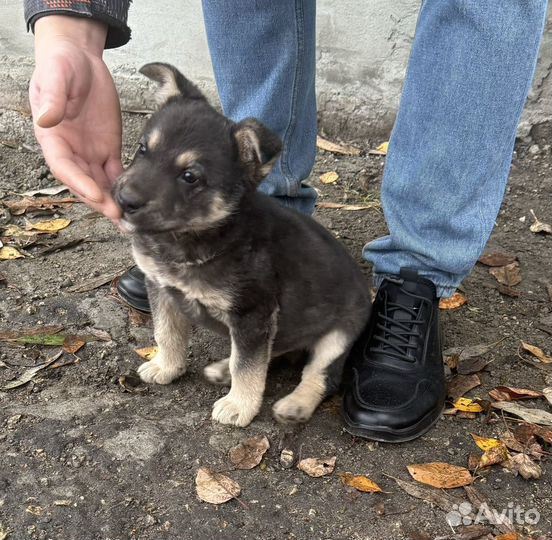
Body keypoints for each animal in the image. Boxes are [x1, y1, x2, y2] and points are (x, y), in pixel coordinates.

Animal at [112, 62, 370, 426]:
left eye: (190, 176)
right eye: (143, 149)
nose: (123, 201)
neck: (194, 238)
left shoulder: (252, 313)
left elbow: (247, 365)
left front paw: (239, 406)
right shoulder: (162, 290)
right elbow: (167, 333)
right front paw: (167, 366)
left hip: (338, 335)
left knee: (321, 375)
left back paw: (295, 404)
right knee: (275, 351)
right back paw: (223, 369)